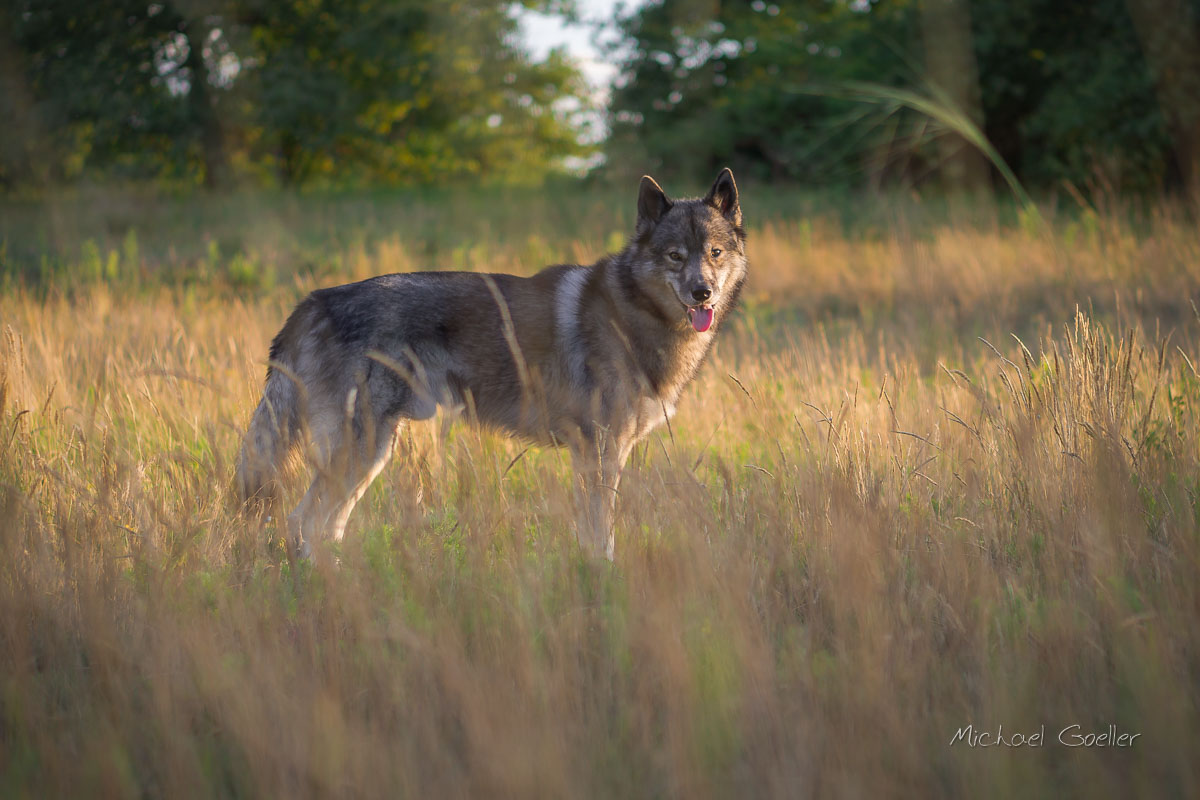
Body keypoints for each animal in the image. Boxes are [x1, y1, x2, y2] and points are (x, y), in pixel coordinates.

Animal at [235, 168, 747, 560]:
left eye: (715, 253)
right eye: (675, 256)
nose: (702, 292)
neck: (634, 310)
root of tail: (313, 302)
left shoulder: (594, 457)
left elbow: (590, 536)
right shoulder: (601, 455)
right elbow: (603, 539)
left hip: (369, 458)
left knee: (325, 527)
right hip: (359, 453)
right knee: (301, 523)